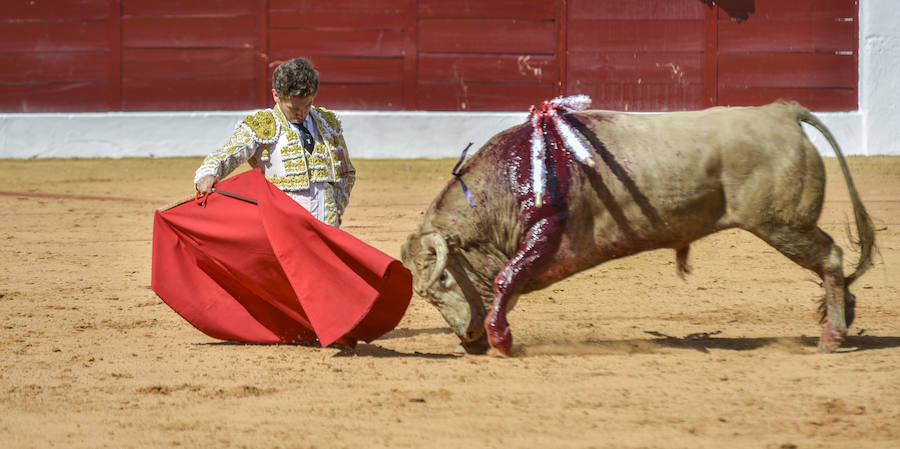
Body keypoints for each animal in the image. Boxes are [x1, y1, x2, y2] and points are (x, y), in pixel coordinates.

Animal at [400, 100, 872, 354]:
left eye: (443, 280)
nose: (468, 336)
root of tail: (780, 111)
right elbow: (508, 282)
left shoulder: (546, 229)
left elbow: (504, 278)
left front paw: (501, 339)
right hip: (788, 225)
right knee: (832, 262)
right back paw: (843, 318)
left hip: (783, 224)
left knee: (831, 258)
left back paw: (831, 336)